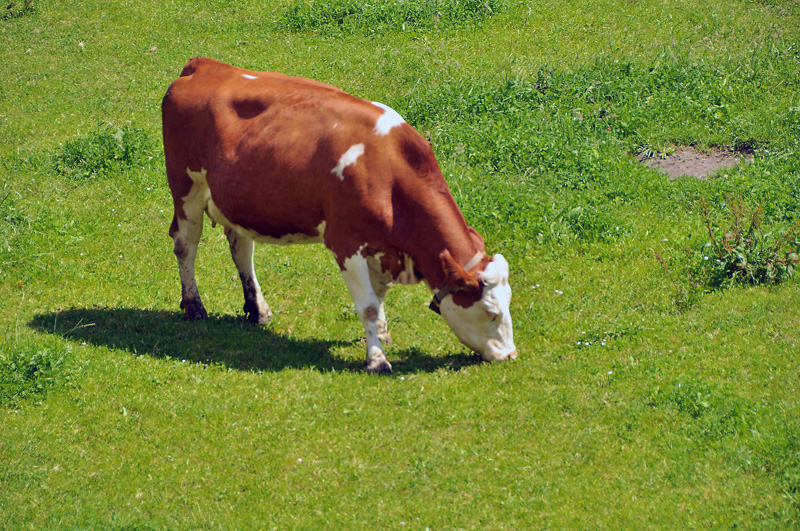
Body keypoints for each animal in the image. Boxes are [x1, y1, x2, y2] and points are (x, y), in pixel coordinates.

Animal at [161, 58, 520, 374]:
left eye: (509, 303)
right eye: (490, 312)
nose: (510, 355)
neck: (390, 172)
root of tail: (204, 65)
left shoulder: (381, 248)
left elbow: (379, 296)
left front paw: (383, 334)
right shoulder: (345, 242)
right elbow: (368, 305)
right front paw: (377, 359)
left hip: (238, 198)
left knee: (241, 246)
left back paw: (257, 310)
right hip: (187, 187)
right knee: (185, 245)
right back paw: (194, 306)